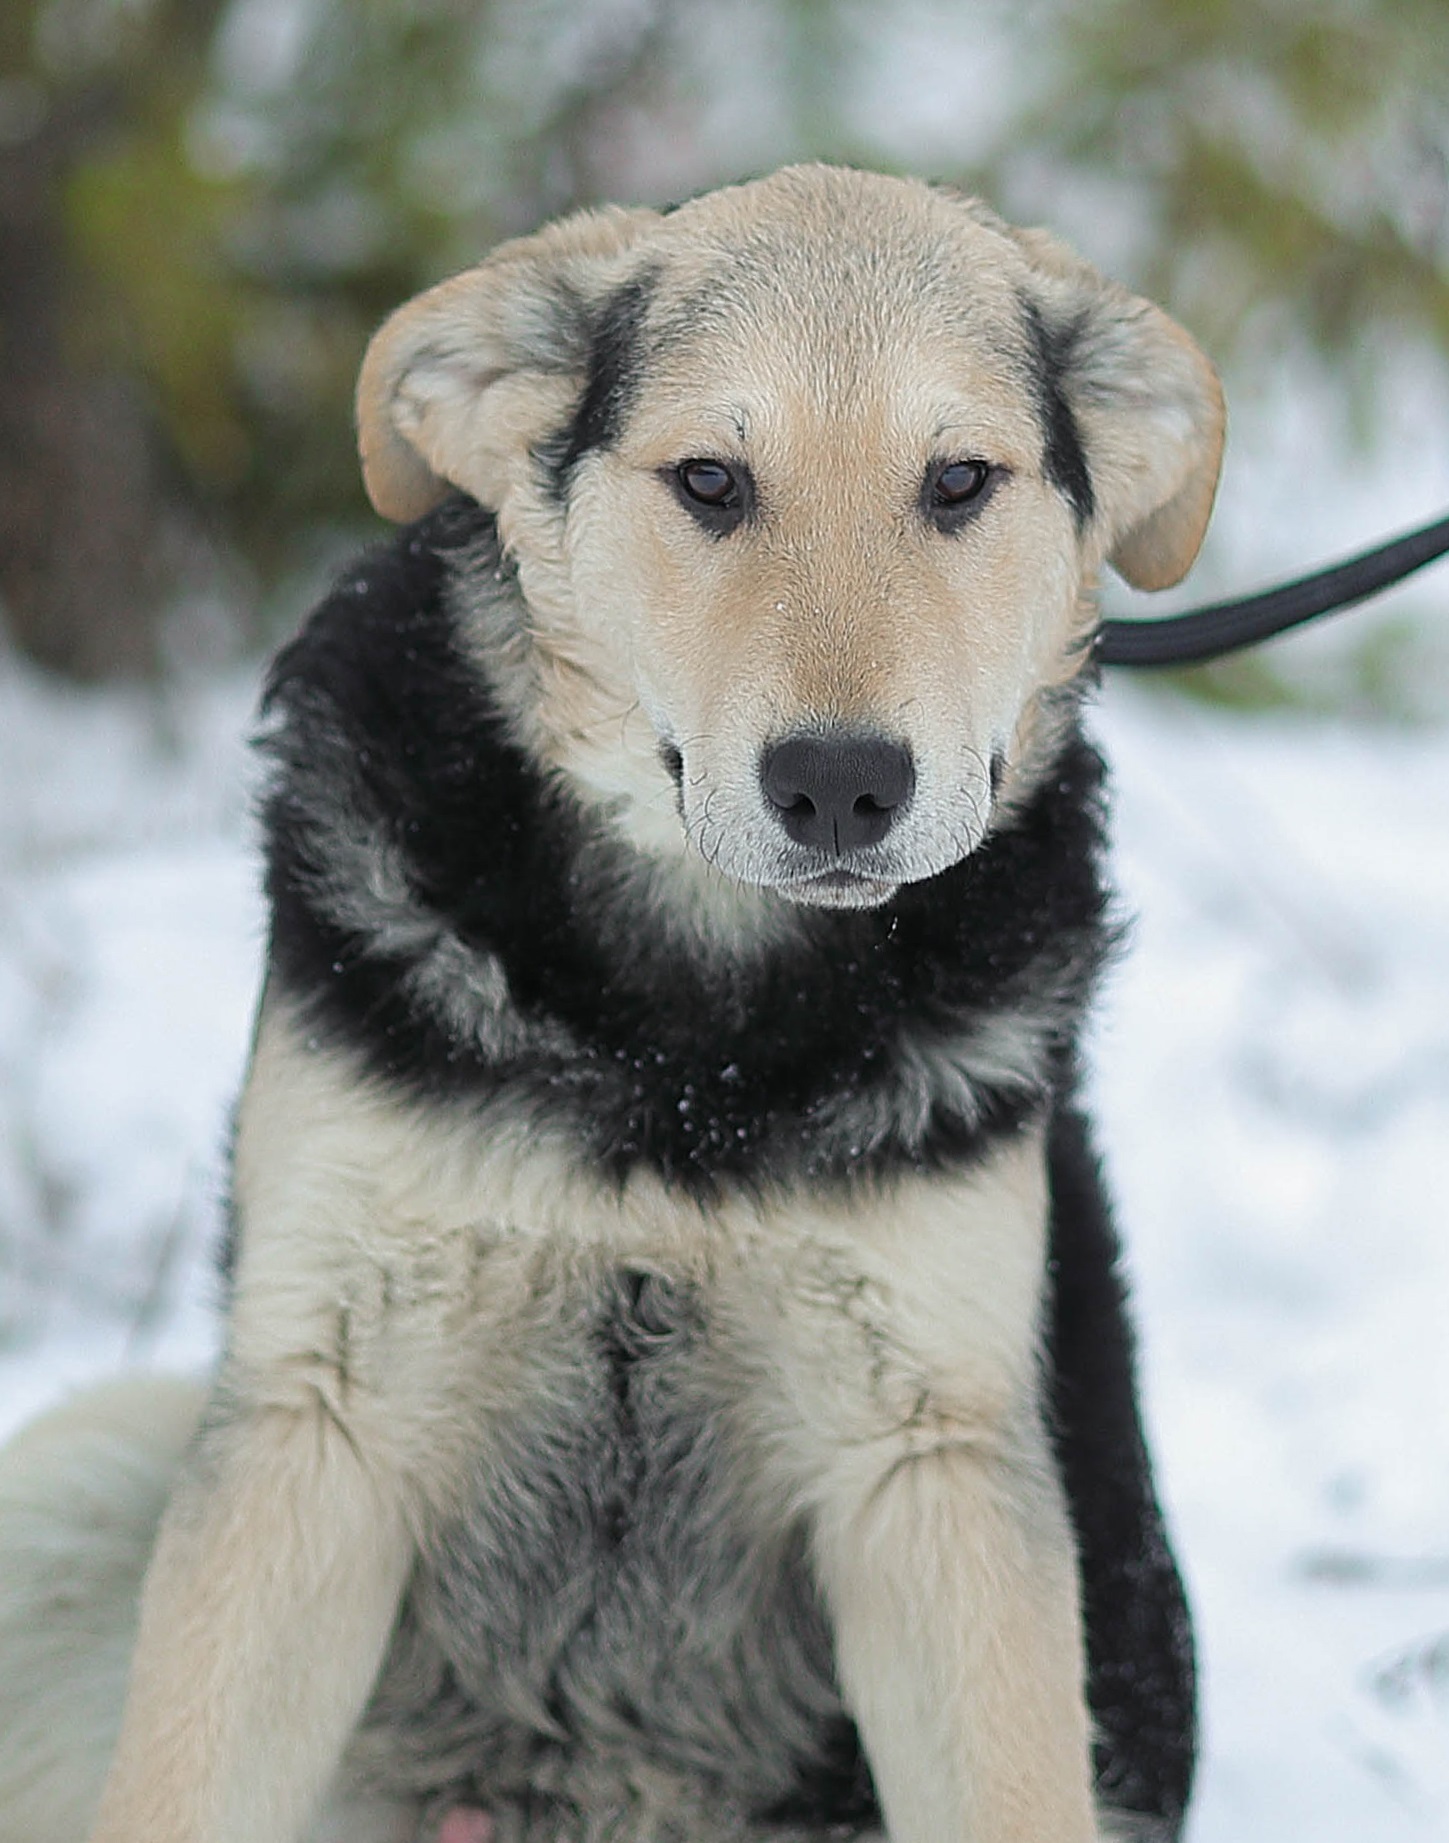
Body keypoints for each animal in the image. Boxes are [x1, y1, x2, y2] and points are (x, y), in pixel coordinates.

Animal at [0, 162, 1216, 1843]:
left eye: (961, 481)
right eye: (709, 480)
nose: (839, 784)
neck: (682, 1058)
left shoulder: (933, 1463)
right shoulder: (319, 1419)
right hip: (83, 1473)